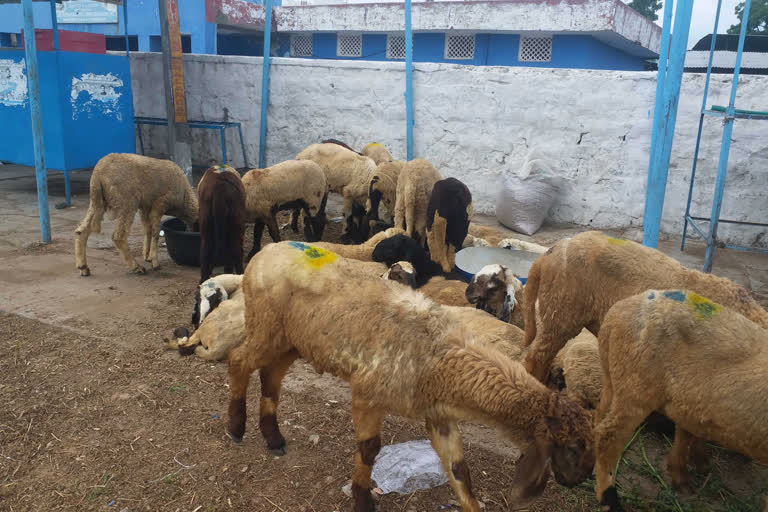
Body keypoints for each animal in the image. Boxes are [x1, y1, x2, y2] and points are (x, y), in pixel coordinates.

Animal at [225, 242, 596, 512]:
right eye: (572, 446)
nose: (580, 479)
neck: (440, 356)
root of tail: (264, 252)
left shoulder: (439, 416)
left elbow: (459, 470)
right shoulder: (367, 395)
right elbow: (369, 450)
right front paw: (362, 500)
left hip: (292, 340)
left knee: (271, 375)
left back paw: (273, 437)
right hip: (265, 325)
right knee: (239, 361)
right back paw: (236, 428)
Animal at [592, 290, 768, 510]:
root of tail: (617, 313)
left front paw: (688, 472)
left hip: (614, 376)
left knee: (599, 414)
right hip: (636, 386)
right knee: (608, 437)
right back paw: (609, 499)